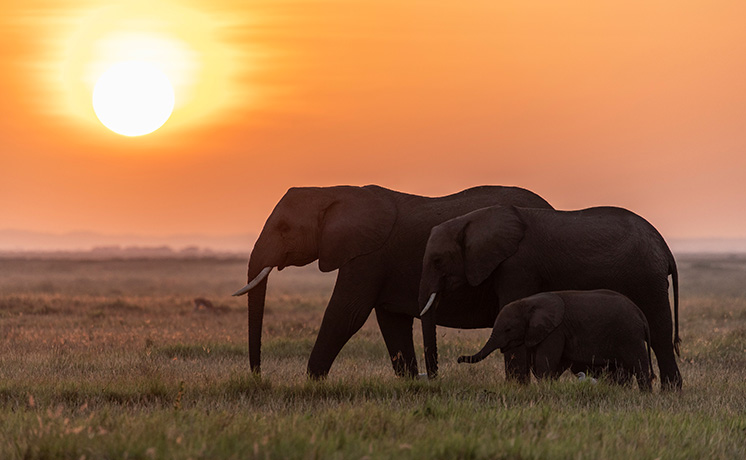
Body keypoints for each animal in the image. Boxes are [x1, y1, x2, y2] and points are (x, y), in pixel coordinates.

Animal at [232, 185, 552, 380]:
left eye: (284, 228)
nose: (258, 375)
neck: (334, 192)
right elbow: (391, 321)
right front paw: (410, 381)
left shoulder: (368, 257)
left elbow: (346, 314)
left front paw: (311, 382)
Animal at [456, 290, 652, 390]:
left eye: (508, 329)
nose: (458, 359)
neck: (530, 302)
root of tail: (641, 314)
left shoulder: (555, 331)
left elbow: (544, 362)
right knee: (621, 371)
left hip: (630, 335)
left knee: (639, 366)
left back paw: (645, 395)